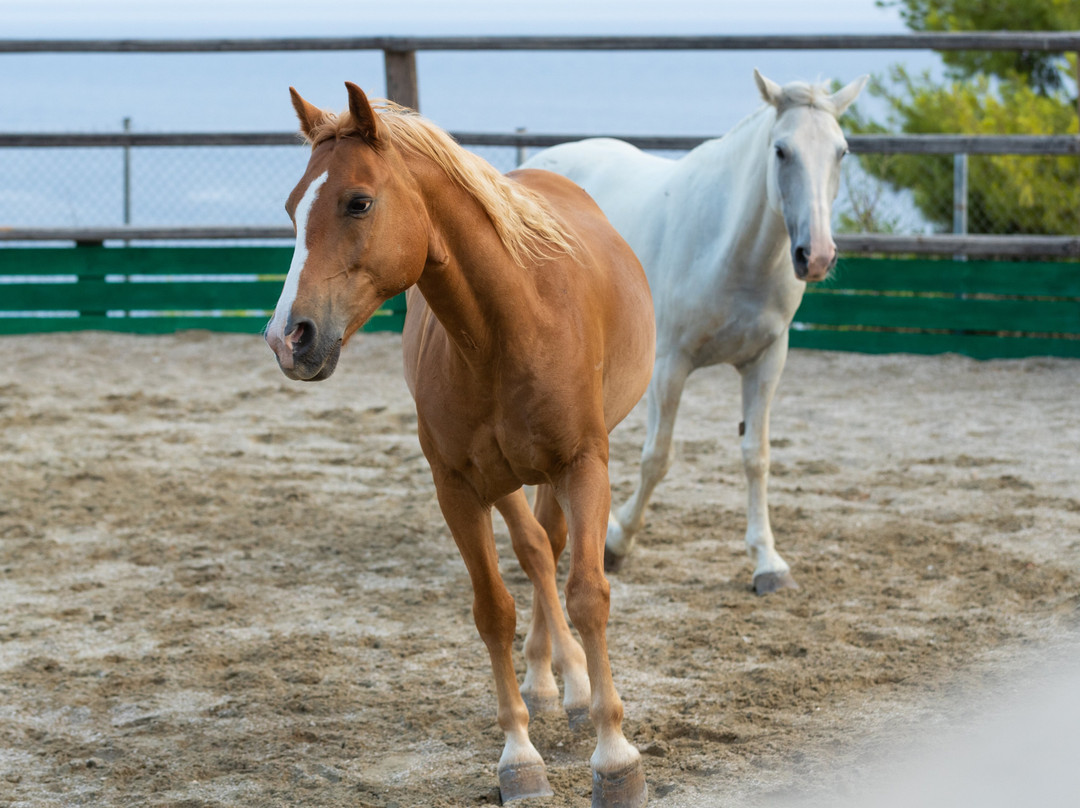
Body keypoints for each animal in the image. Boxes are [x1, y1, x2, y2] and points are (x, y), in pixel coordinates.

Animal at [264, 83, 654, 807]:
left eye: (357, 202)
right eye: (292, 207)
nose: (288, 338)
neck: (511, 324)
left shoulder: (584, 463)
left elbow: (587, 592)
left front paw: (616, 757)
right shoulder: (456, 486)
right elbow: (493, 609)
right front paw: (520, 759)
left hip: (556, 472)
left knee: (552, 550)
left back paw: (575, 686)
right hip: (503, 479)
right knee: (534, 550)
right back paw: (552, 681)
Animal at [523, 70, 867, 595]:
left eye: (841, 151)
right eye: (781, 150)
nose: (817, 256)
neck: (733, 251)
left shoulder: (767, 361)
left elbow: (756, 456)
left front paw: (767, 562)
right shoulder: (671, 365)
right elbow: (657, 457)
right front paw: (617, 542)